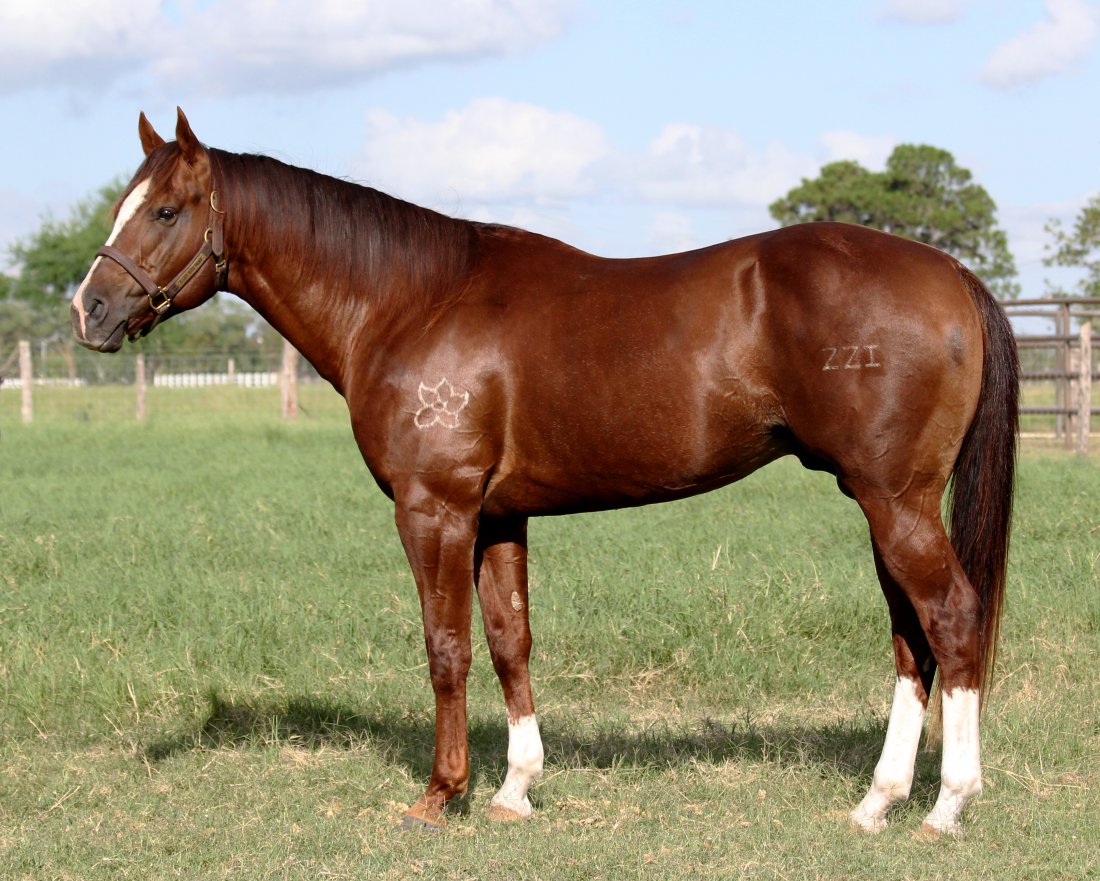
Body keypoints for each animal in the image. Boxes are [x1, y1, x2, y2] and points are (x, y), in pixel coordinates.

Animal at [72, 108, 1017, 835]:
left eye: (164, 210)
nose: (90, 309)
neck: (411, 301)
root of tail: (951, 273)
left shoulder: (435, 511)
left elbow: (446, 646)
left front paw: (438, 795)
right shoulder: (498, 517)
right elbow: (508, 640)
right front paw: (514, 789)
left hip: (895, 502)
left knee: (953, 619)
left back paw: (945, 807)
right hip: (881, 503)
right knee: (912, 640)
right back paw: (876, 803)